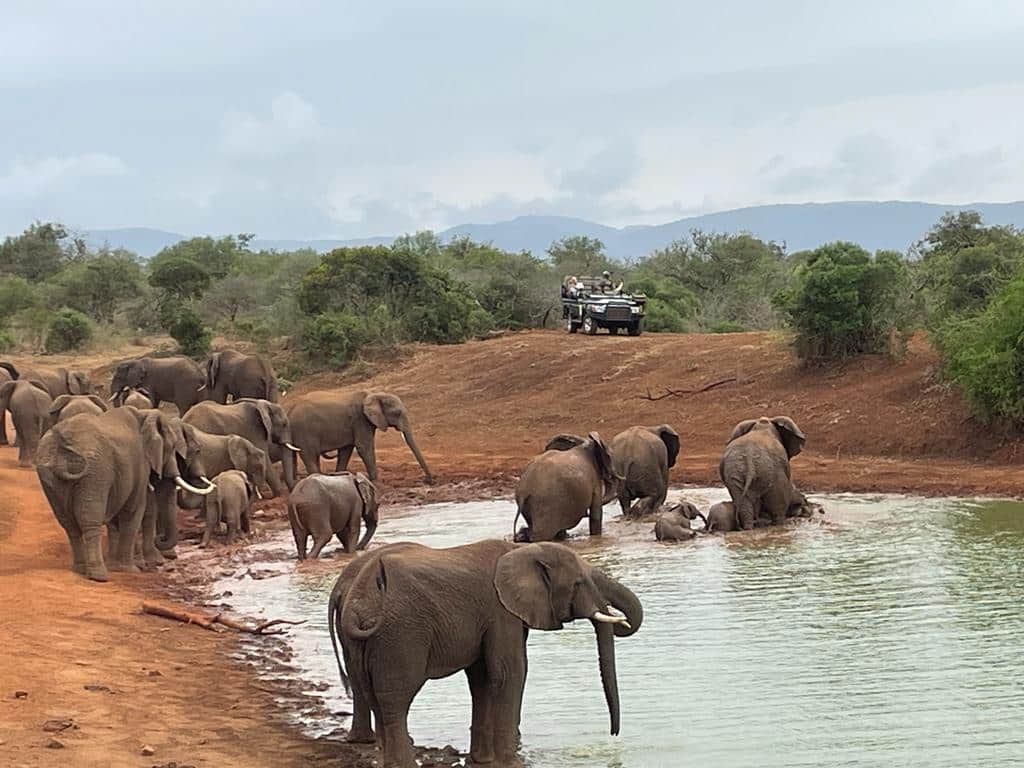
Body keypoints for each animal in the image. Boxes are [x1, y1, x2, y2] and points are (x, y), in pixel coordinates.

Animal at [35, 407, 214, 581]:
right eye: (170, 449)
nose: (160, 539)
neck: (144, 414)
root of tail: (60, 449)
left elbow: (117, 513)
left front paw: (116, 565)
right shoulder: (140, 463)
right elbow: (134, 510)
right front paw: (130, 569)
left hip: (50, 477)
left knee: (68, 524)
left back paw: (80, 569)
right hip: (95, 472)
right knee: (90, 520)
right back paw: (99, 576)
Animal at [283, 390, 432, 487]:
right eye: (398, 413)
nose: (428, 481)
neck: (374, 395)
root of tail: (289, 410)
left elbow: (346, 450)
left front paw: (340, 478)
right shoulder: (361, 420)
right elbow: (363, 447)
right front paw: (376, 483)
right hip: (304, 431)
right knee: (309, 455)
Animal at [328, 539, 643, 767]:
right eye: (578, 583)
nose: (613, 735)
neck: (520, 549)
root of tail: (356, 592)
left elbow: (482, 678)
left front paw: (483, 761)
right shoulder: (500, 612)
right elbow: (510, 672)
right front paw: (513, 764)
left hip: (363, 643)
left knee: (370, 693)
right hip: (400, 635)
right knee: (395, 699)